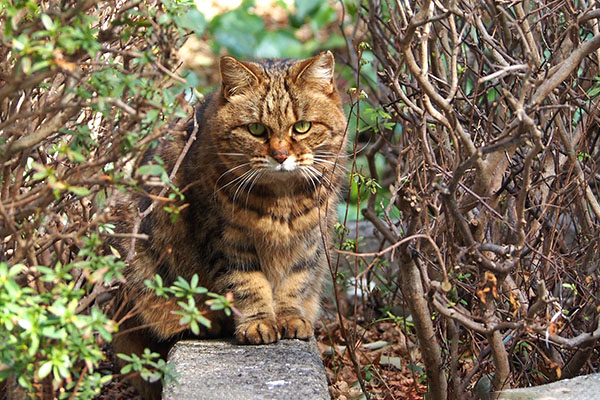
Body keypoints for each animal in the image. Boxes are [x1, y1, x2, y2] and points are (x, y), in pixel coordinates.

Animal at [112, 50, 346, 396]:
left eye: (302, 127)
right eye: (256, 129)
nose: (280, 156)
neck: (281, 200)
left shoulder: (308, 239)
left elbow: (295, 281)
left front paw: (290, 317)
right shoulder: (226, 238)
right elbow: (247, 284)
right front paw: (258, 322)